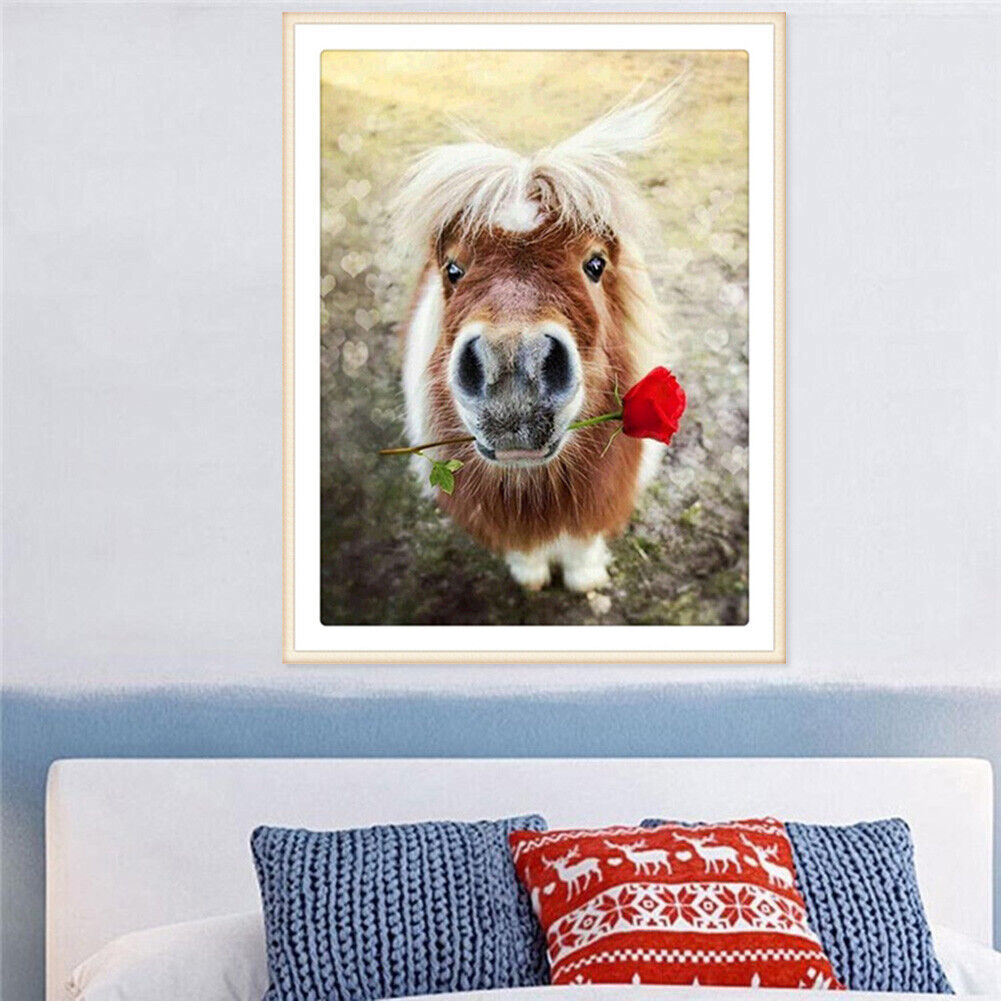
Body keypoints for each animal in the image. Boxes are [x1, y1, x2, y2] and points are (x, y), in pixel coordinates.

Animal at [391, 86, 681, 591]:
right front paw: (531, 577)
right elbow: (525, 548)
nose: (511, 368)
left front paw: (584, 579)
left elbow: (583, 543)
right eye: (453, 269)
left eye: (595, 264)